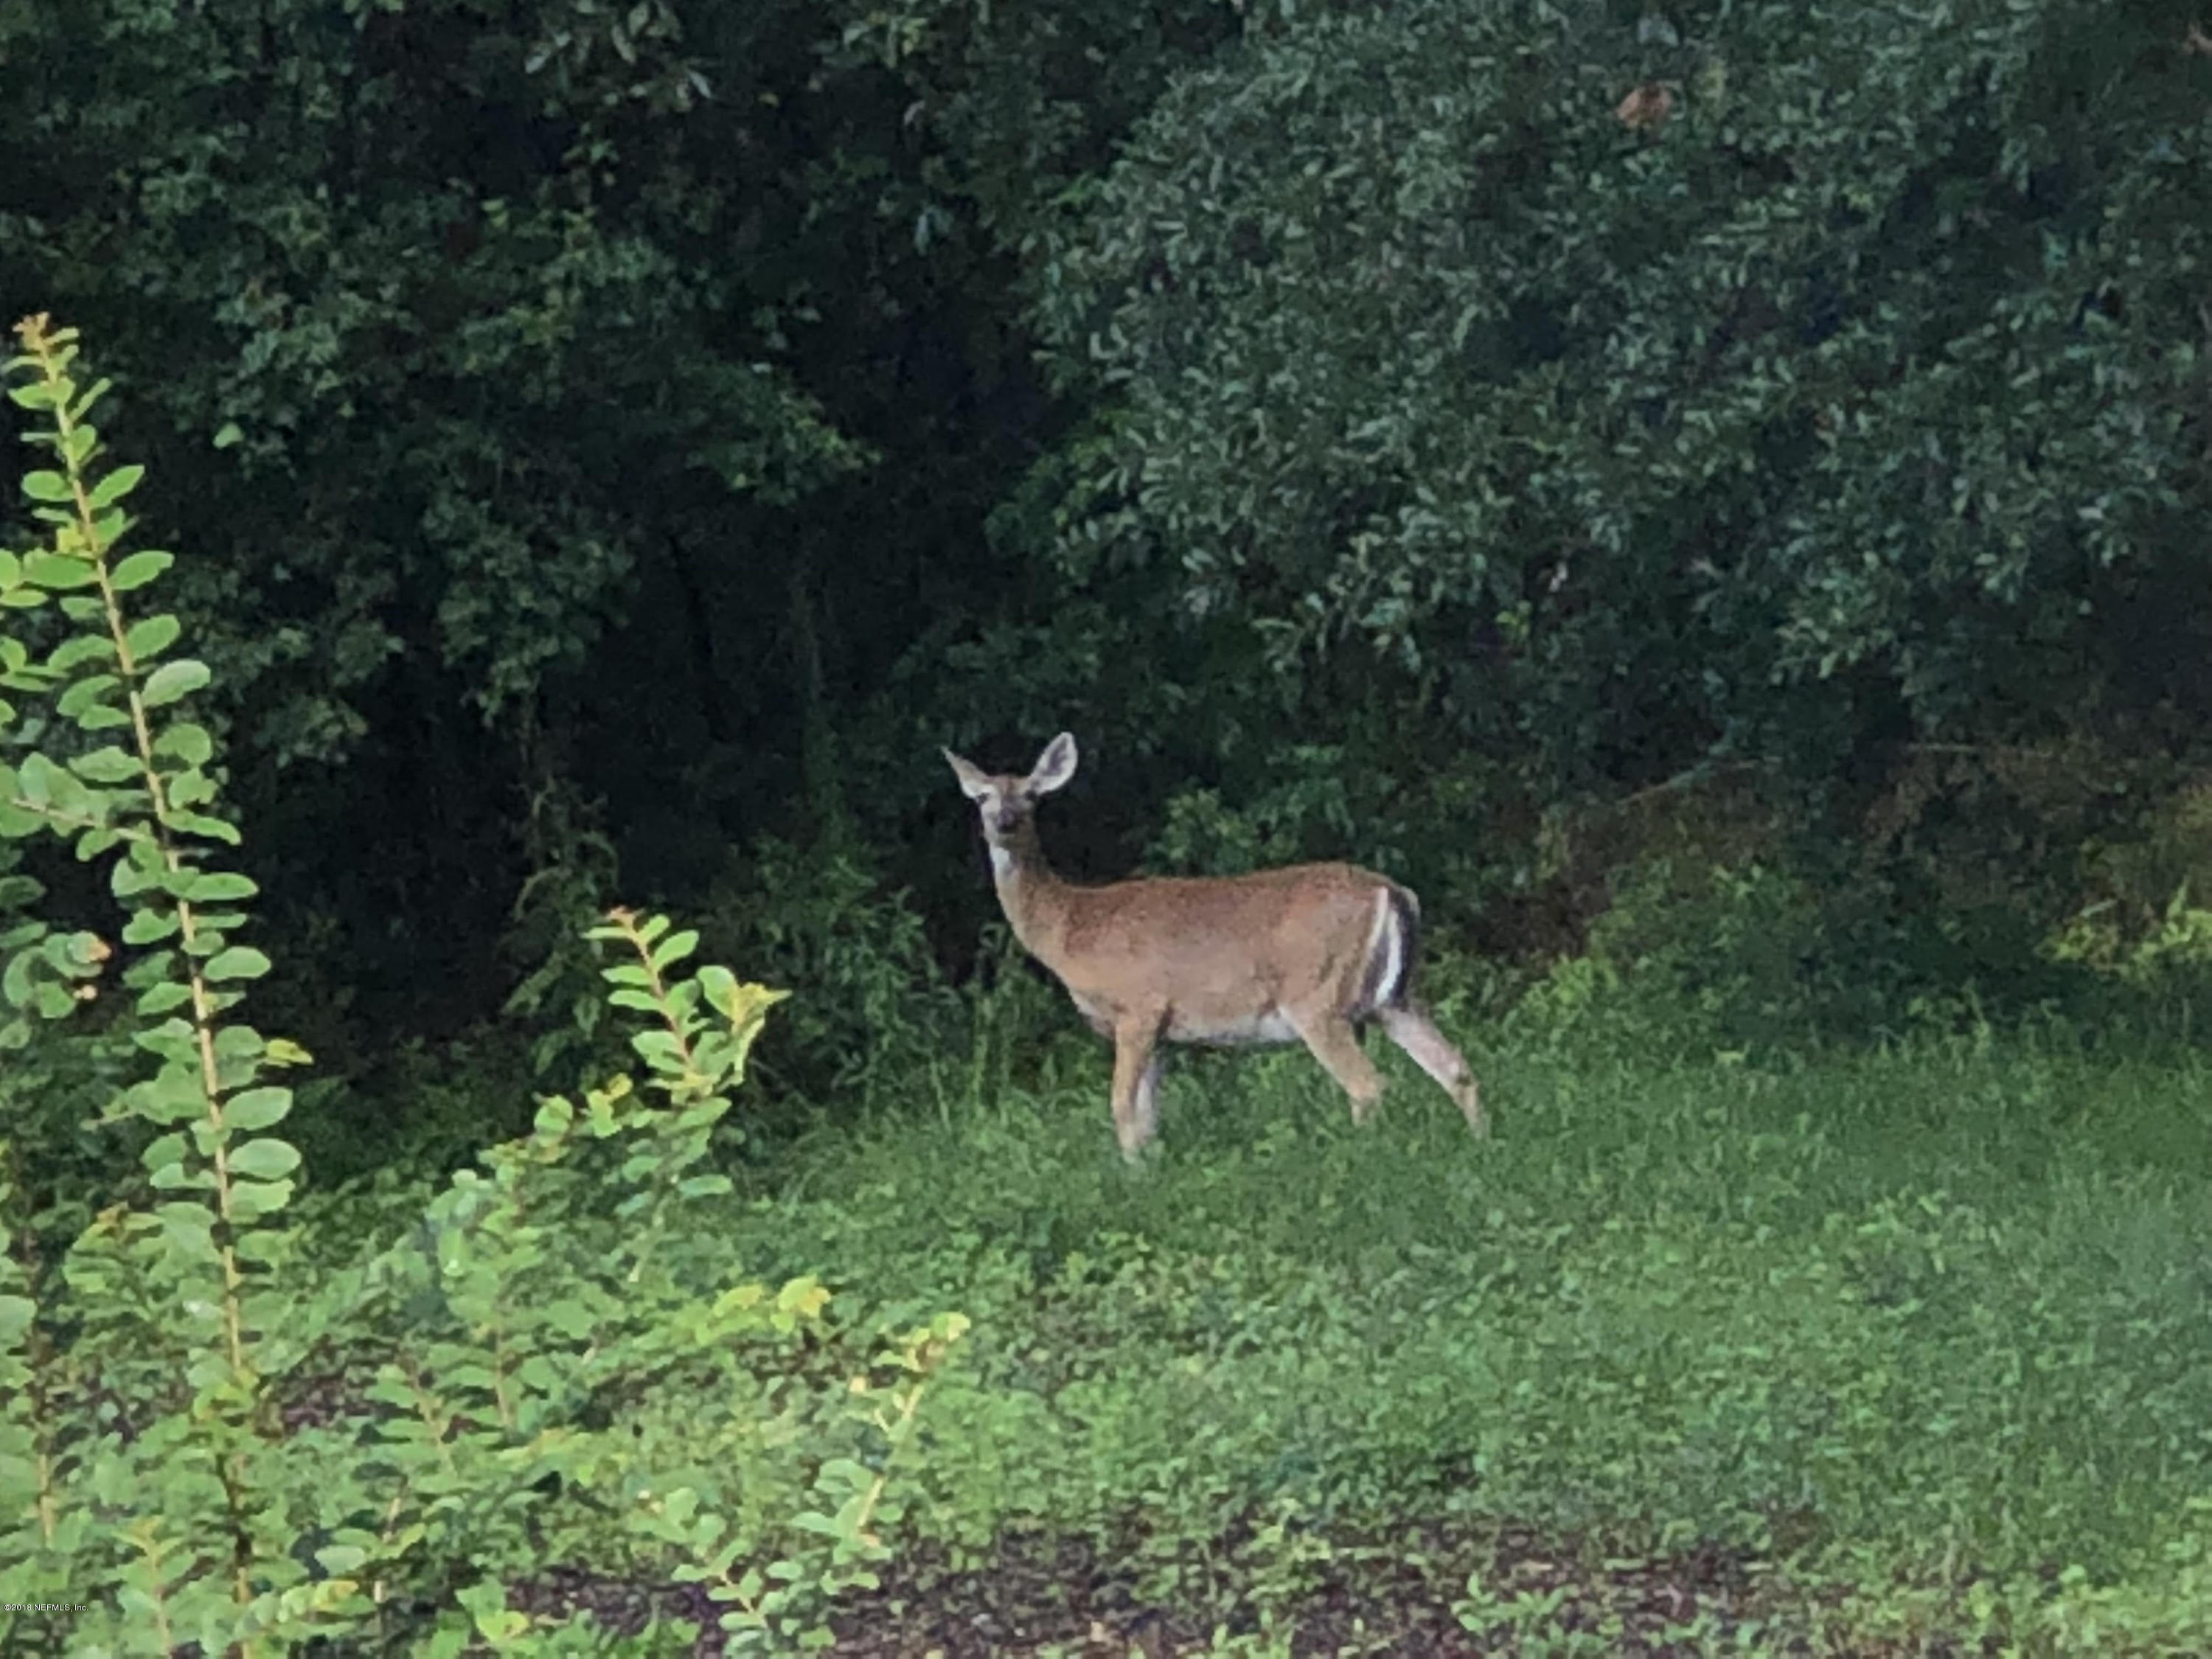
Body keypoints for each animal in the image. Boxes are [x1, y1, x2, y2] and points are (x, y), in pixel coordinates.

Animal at [942, 732, 1486, 1161]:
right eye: (983, 797)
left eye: (1032, 795)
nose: (1005, 822)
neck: (1071, 929)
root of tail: (1393, 892)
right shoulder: (1163, 1034)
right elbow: (1149, 1118)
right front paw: (1150, 1171)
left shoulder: (1138, 1009)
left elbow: (1120, 1106)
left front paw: (1129, 1177)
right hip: (1394, 998)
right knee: (1455, 1067)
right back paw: (1480, 1147)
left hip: (1318, 998)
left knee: (1369, 1085)